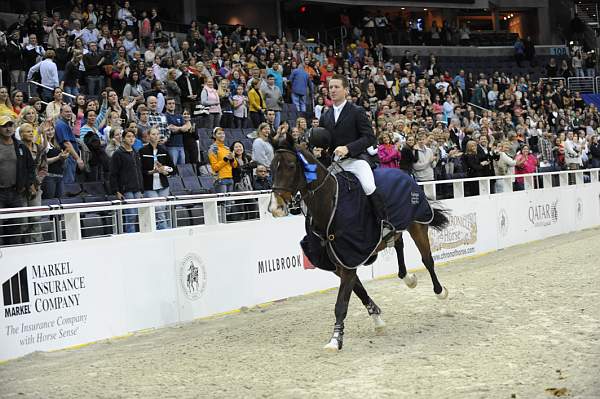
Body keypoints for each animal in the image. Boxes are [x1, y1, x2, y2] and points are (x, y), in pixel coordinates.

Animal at [270, 141, 448, 354]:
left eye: (290, 166)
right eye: (271, 167)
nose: (275, 208)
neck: (330, 204)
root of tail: (404, 173)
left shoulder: (349, 259)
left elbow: (341, 304)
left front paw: (335, 340)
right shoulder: (340, 262)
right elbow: (360, 292)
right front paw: (377, 320)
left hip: (417, 223)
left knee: (427, 259)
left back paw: (440, 292)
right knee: (398, 243)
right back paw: (408, 278)